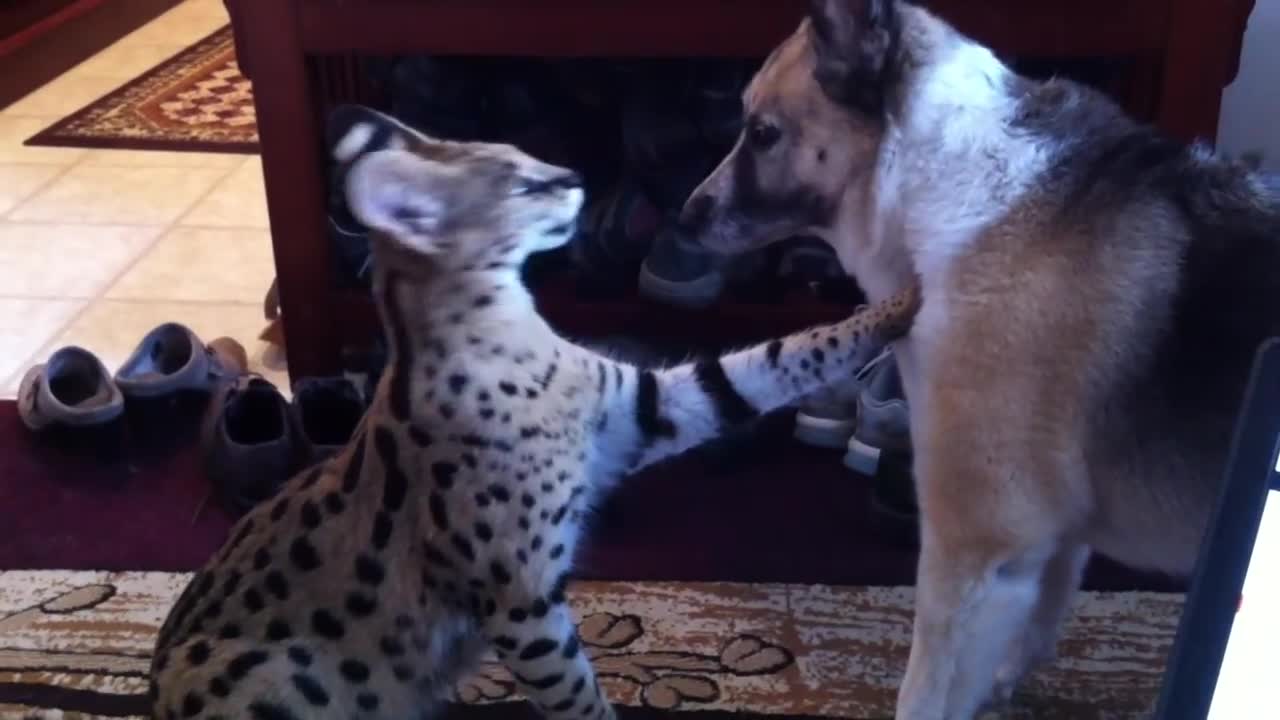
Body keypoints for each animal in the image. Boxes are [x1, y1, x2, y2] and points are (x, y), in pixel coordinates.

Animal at [680, 1, 1280, 717]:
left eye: (763, 133)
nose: (682, 219)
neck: (947, 181)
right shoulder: (1045, 544)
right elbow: (1038, 618)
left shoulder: (974, 554)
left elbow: (927, 690)